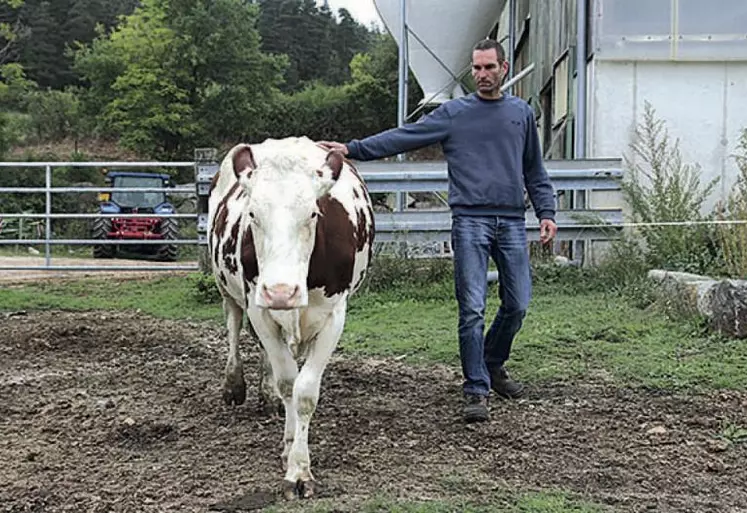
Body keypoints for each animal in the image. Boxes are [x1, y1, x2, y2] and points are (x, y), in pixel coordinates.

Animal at [207, 137, 374, 500]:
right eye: (252, 213)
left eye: (312, 213)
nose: (280, 291)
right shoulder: (259, 308)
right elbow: (288, 383)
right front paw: (291, 456)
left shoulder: (334, 315)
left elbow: (304, 392)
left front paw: (299, 470)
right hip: (227, 289)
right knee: (233, 325)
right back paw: (235, 384)